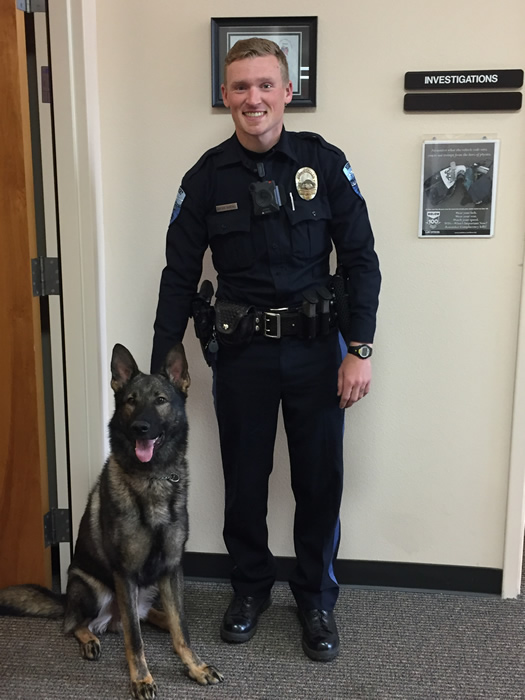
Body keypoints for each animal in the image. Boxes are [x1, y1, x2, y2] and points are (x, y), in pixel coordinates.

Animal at [0, 344, 223, 700]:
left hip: (148, 589)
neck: (153, 478)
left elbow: (182, 628)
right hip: (93, 589)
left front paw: (195, 666)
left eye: (161, 400)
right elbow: (135, 639)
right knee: (76, 624)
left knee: (155, 618)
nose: (140, 428)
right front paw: (141, 680)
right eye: (131, 400)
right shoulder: (125, 574)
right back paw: (90, 639)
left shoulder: (171, 569)